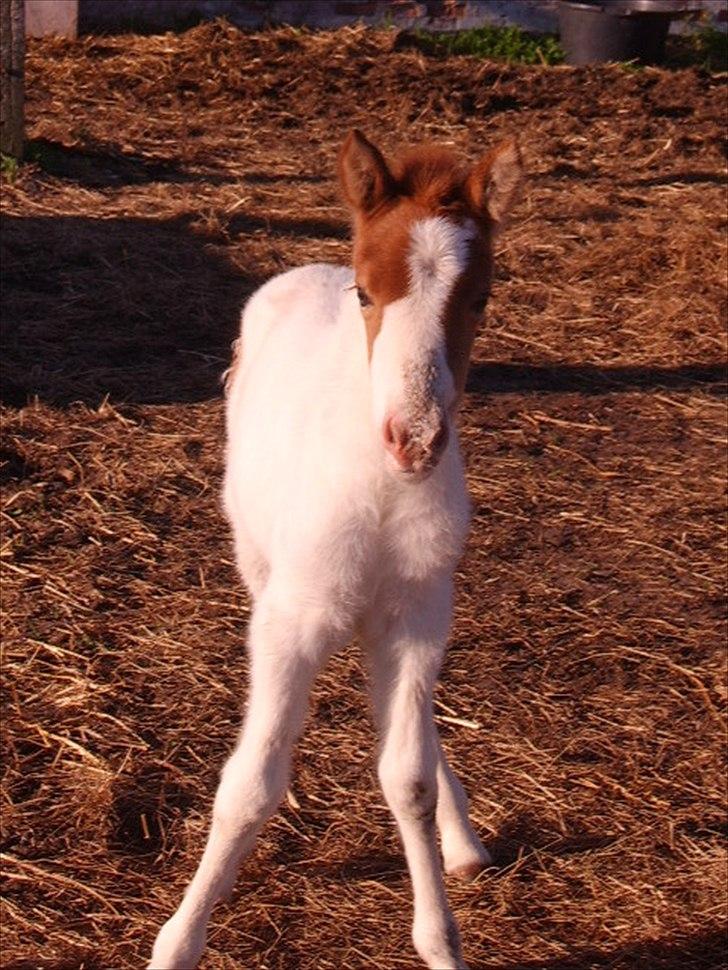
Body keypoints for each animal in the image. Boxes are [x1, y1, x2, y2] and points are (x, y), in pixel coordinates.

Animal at [149, 130, 524, 968]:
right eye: (365, 293)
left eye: (481, 299)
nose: (414, 438)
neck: (380, 490)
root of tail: (304, 271)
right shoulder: (292, 619)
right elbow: (249, 786)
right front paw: (177, 941)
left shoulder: (419, 612)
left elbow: (408, 776)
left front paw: (440, 940)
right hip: (259, 562)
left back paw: (462, 839)